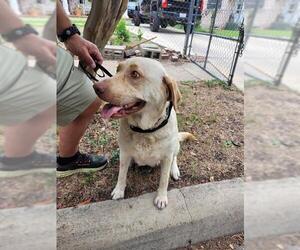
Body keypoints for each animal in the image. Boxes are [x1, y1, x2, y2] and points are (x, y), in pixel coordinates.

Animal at [94, 57, 195, 209]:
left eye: (135, 74)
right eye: (118, 69)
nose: (95, 87)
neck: (145, 131)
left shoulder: (166, 157)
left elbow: (164, 179)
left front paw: (161, 197)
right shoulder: (124, 153)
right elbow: (122, 174)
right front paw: (119, 190)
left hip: (175, 146)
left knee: (175, 158)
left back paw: (175, 170)